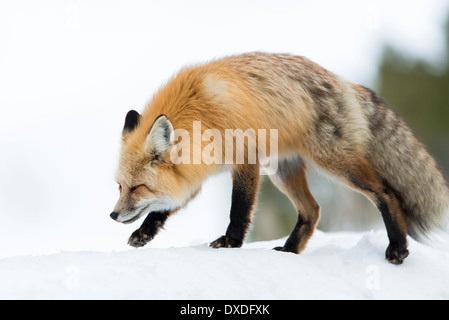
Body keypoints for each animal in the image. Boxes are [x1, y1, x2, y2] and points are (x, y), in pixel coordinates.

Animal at [109, 52, 448, 262]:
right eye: (120, 187)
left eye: (137, 188)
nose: (112, 215)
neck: (201, 111)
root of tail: (343, 81)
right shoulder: (195, 172)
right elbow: (164, 209)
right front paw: (144, 233)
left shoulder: (245, 158)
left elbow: (239, 209)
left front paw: (230, 243)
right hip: (283, 172)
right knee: (312, 211)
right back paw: (289, 251)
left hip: (336, 164)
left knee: (386, 193)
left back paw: (398, 247)